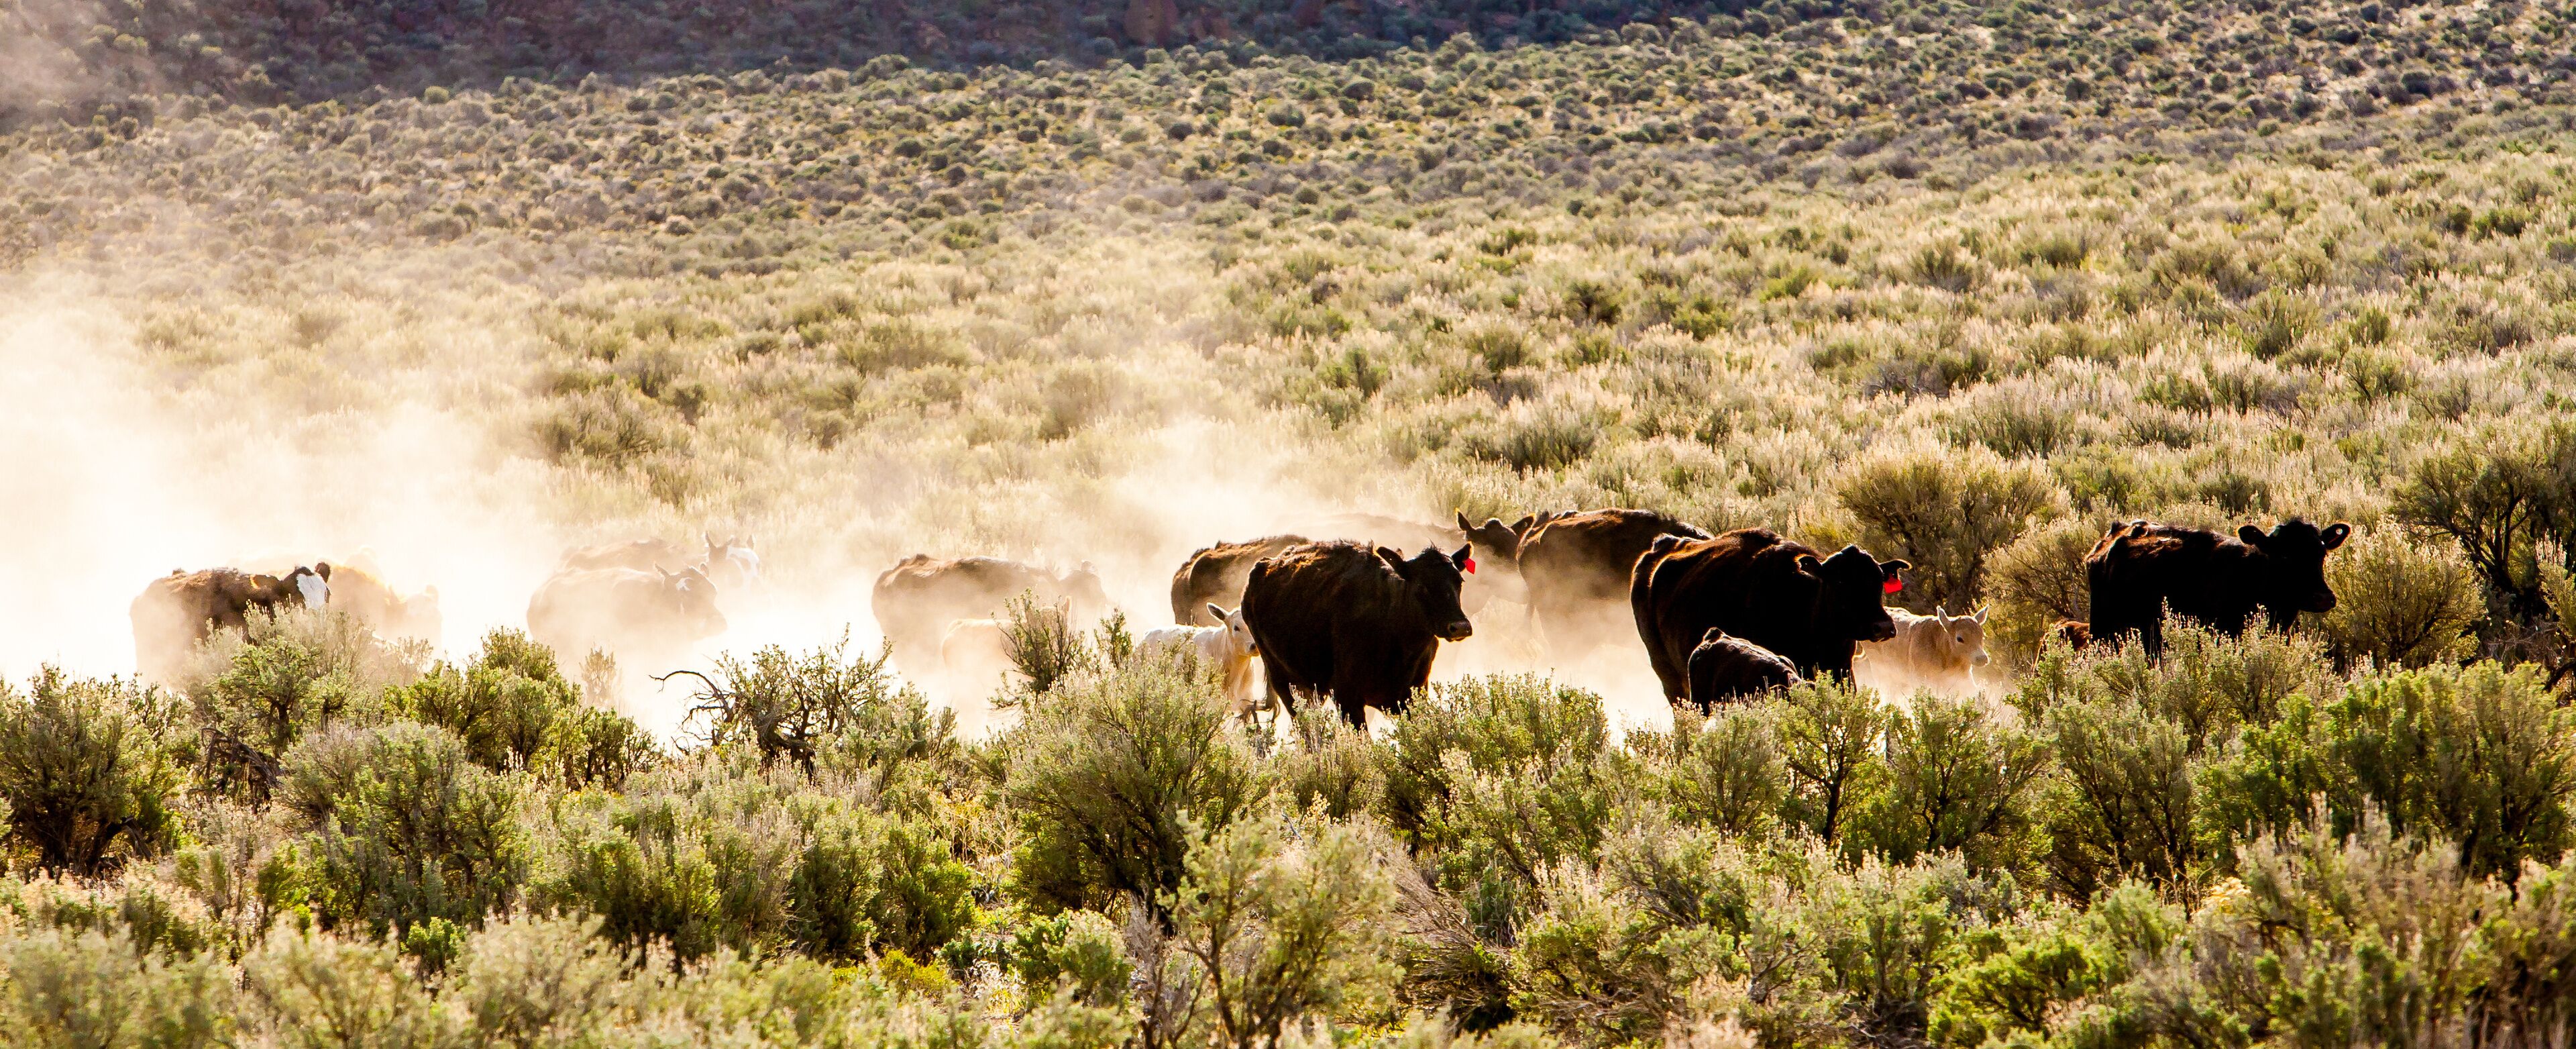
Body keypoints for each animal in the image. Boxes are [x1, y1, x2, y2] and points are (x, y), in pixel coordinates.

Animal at [1240, 541, 1474, 729]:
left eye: (1459, 581)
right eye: (1422, 586)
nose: (1460, 627)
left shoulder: (1414, 694)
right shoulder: (1348, 698)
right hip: (1283, 679)